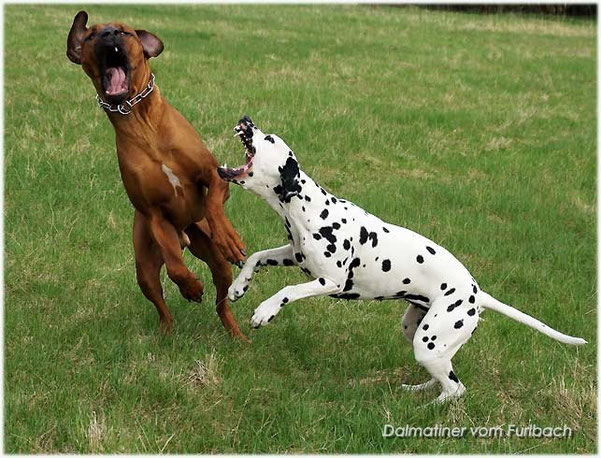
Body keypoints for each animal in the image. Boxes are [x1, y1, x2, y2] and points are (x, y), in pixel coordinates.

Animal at [68, 11, 248, 340]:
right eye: (91, 35)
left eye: (125, 32)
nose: (109, 34)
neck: (144, 126)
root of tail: (186, 234)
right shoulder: (154, 215)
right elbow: (176, 268)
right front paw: (191, 287)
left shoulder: (214, 175)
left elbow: (213, 203)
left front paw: (228, 238)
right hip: (145, 262)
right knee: (159, 296)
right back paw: (166, 331)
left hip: (216, 260)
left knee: (222, 301)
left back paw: (237, 336)